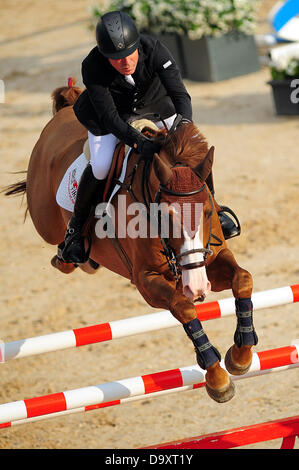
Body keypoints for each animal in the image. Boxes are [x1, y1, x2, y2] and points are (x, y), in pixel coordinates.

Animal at [4, 82, 258, 402]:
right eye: (164, 215)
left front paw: (240, 356)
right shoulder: (146, 282)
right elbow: (184, 308)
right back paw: (71, 251)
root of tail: (64, 111)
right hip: (45, 220)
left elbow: (243, 279)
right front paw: (217, 378)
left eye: (209, 211)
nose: (198, 288)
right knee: (61, 243)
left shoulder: (210, 258)